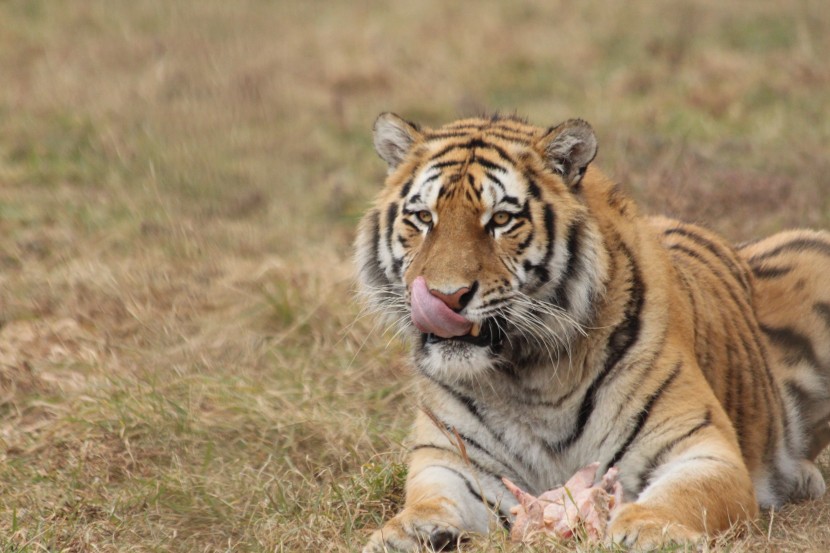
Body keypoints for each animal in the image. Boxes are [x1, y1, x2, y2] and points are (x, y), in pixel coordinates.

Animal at [354, 111, 830, 548]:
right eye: (423, 217)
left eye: (502, 220)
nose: (445, 296)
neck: (527, 375)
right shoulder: (448, 458)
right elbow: (432, 500)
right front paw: (402, 533)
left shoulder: (700, 446)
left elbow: (681, 496)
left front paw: (647, 529)